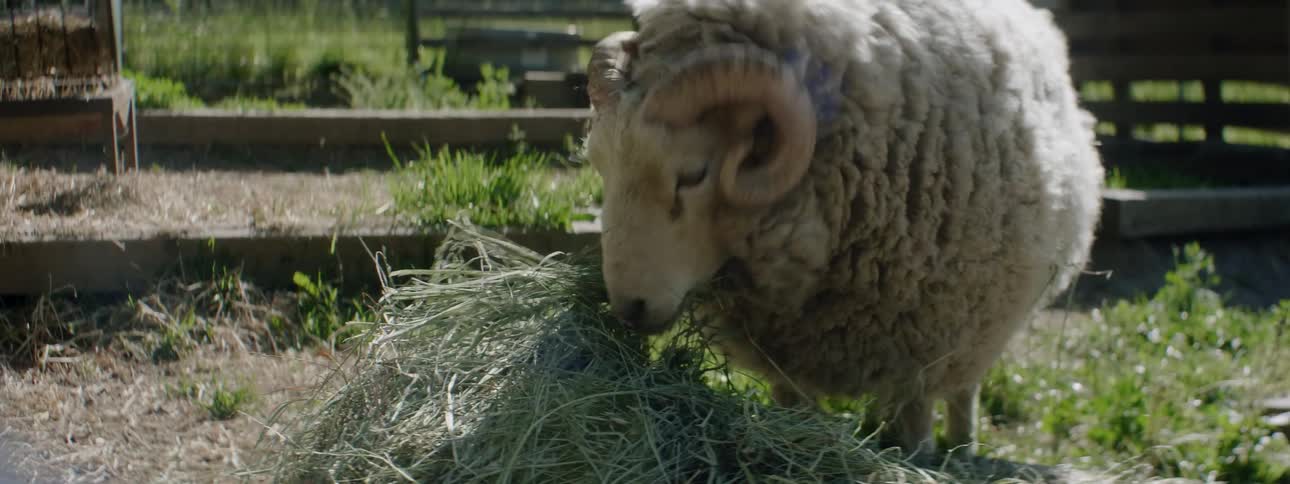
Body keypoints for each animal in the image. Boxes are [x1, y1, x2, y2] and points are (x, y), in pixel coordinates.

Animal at [581, 0, 1105, 458]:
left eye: (693, 174)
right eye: (600, 165)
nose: (629, 309)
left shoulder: (925, 344)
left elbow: (918, 421)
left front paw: (918, 459)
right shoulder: (784, 356)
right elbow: (796, 407)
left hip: (980, 320)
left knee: (964, 387)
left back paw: (962, 447)